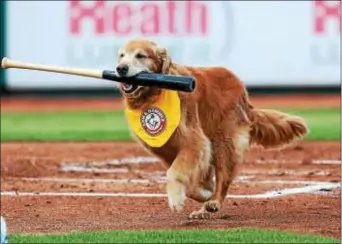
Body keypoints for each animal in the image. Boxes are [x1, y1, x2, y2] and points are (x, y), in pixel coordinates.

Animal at [115, 38, 310, 219]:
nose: (120, 69)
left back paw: (214, 202)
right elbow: (189, 178)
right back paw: (204, 206)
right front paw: (200, 193)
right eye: (122, 55)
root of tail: (241, 88)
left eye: (140, 55)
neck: (155, 94)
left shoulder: (194, 142)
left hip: (223, 140)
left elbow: (175, 173)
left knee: (224, 178)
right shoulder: (166, 148)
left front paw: (177, 199)